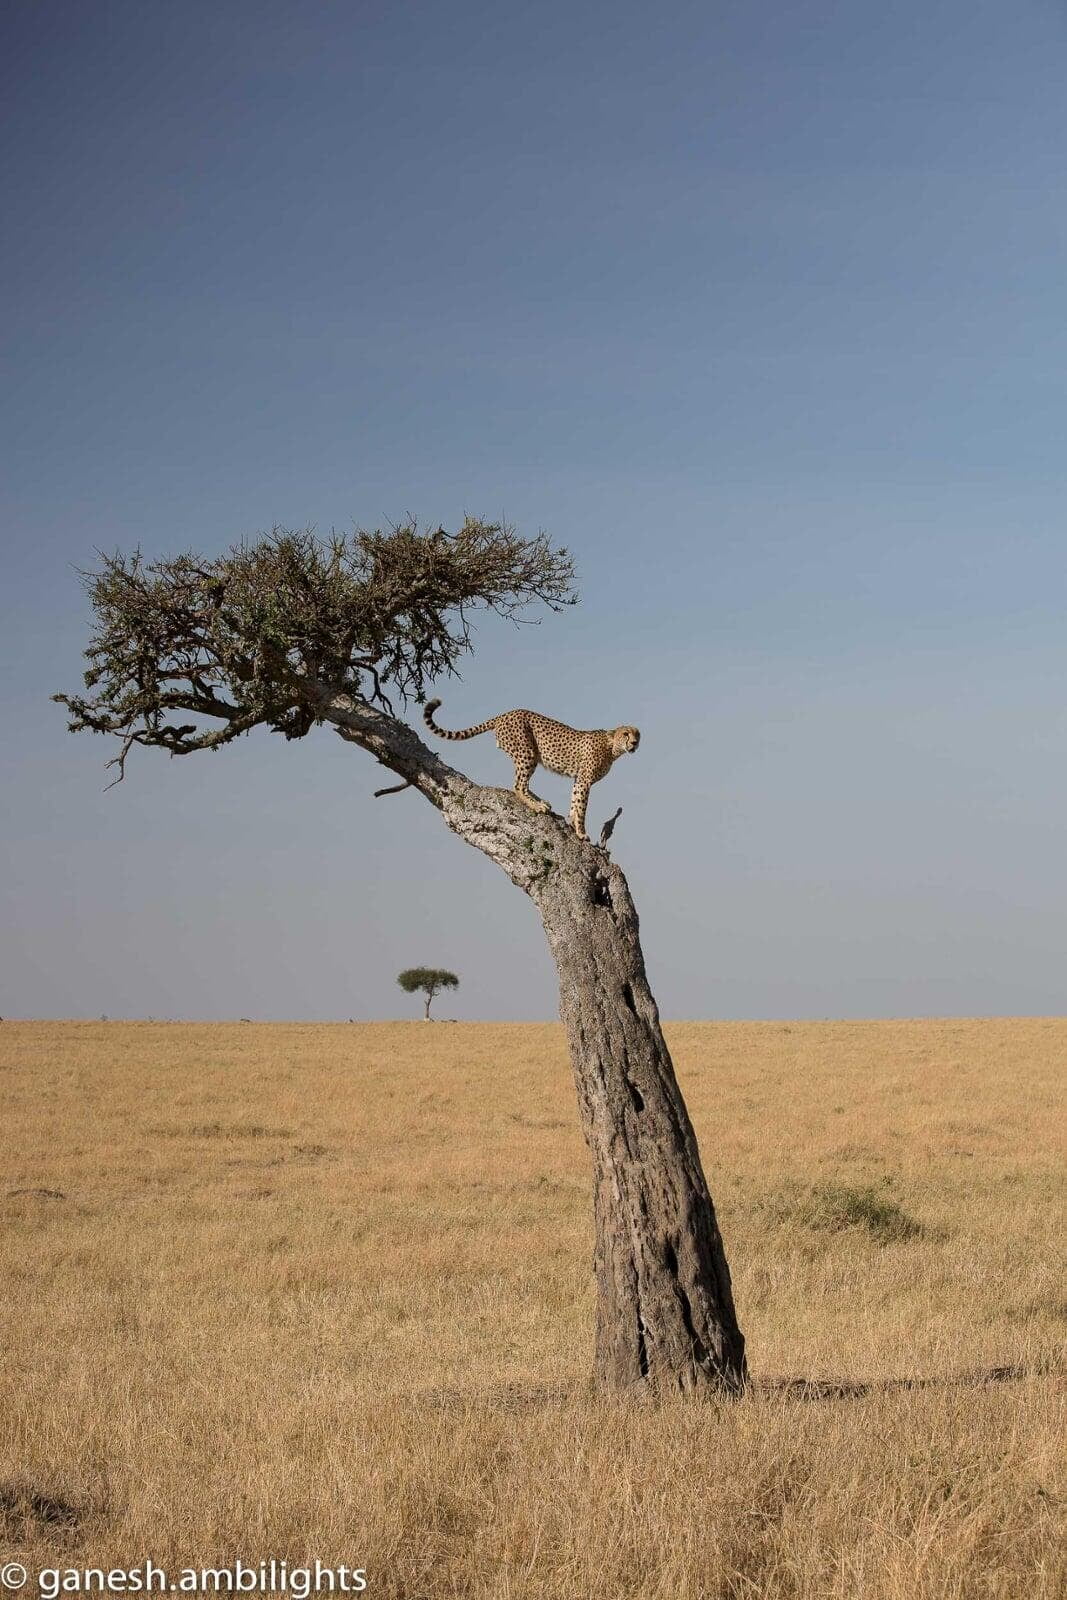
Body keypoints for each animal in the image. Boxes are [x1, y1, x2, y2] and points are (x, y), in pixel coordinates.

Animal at [423, 699, 640, 842]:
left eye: (637, 734)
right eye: (625, 734)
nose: (635, 743)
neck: (612, 748)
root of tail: (506, 713)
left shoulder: (579, 780)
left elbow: (575, 802)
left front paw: (572, 824)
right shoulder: (584, 780)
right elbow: (581, 806)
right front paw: (581, 832)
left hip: (530, 754)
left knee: (523, 784)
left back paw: (541, 802)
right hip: (526, 751)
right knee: (518, 785)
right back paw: (537, 806)